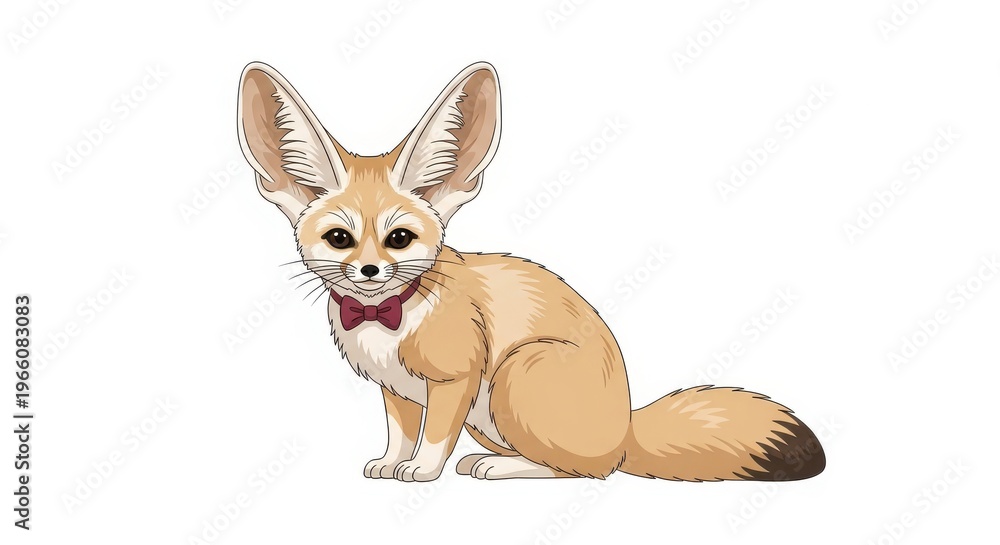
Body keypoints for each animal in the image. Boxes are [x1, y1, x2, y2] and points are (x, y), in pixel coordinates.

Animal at [236, 61, 826, 483]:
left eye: (398, 238)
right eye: (340, 238)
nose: (369, 270)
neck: (388, 319)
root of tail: (626, 428)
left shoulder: (455, 378)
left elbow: (433, 438)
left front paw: (422, 471)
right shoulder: (397, 391)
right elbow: (400, 434)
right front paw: (389, 462)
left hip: (515, 376)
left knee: (588, 471)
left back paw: (498, 467)